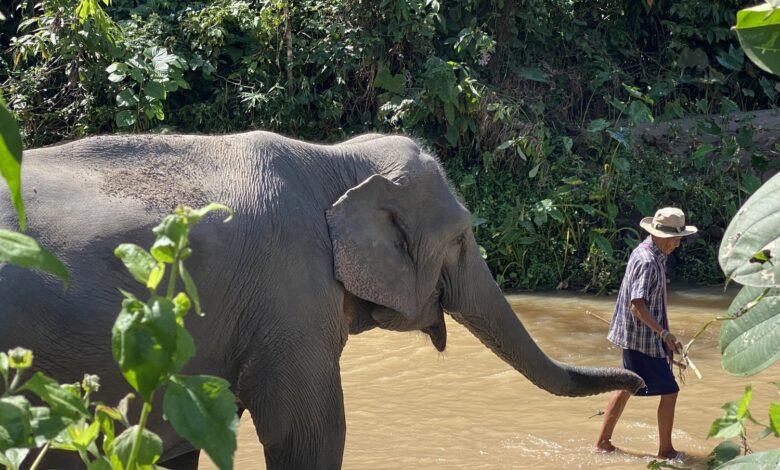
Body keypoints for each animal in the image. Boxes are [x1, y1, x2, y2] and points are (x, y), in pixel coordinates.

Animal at [0, 131, 643, 469]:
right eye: (462, 238)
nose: (639, 379)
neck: (334, 158)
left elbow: (172, 445)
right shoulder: (290, 296)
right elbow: (307, 436)